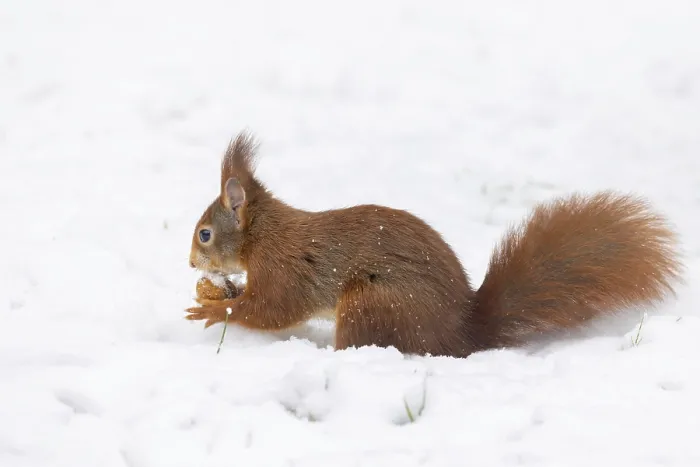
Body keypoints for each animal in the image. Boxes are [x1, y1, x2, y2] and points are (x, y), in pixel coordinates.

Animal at [186, 131, 683, 358]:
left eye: (205, 234)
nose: (191, 264)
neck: (263, 235)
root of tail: (460, 334)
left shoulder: (285, 268)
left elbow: (272, 309)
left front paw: (214, 309)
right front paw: (221, 293)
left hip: (371, 304)